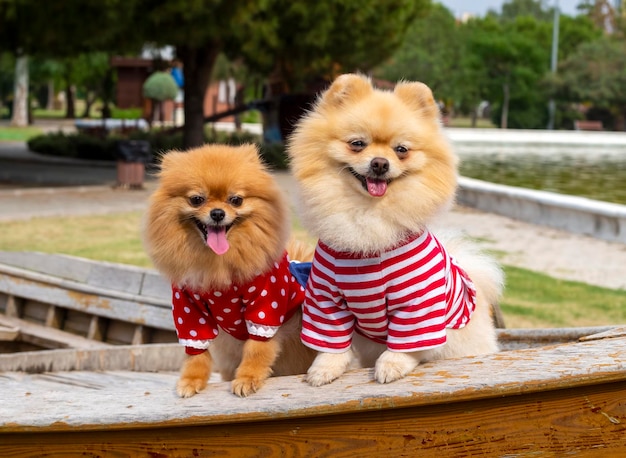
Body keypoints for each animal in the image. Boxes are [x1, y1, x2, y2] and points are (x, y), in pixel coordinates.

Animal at [143, 144, 314, 398]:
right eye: (196, 199)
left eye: (236, 200)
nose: (217, 213)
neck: (219, 265)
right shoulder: (189, 312)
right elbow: (196, 353)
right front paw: (191, 380)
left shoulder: (265, 306)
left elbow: (257, 347)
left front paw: (247, 378)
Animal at [288, 74, 502, 386]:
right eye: (357, 143)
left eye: (401, 150)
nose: (380, 163)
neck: (369, 214)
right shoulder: (326, 298)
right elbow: (332, 343)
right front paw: (324, 368)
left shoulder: (419, 300)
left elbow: (407, 343)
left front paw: (392, 364)